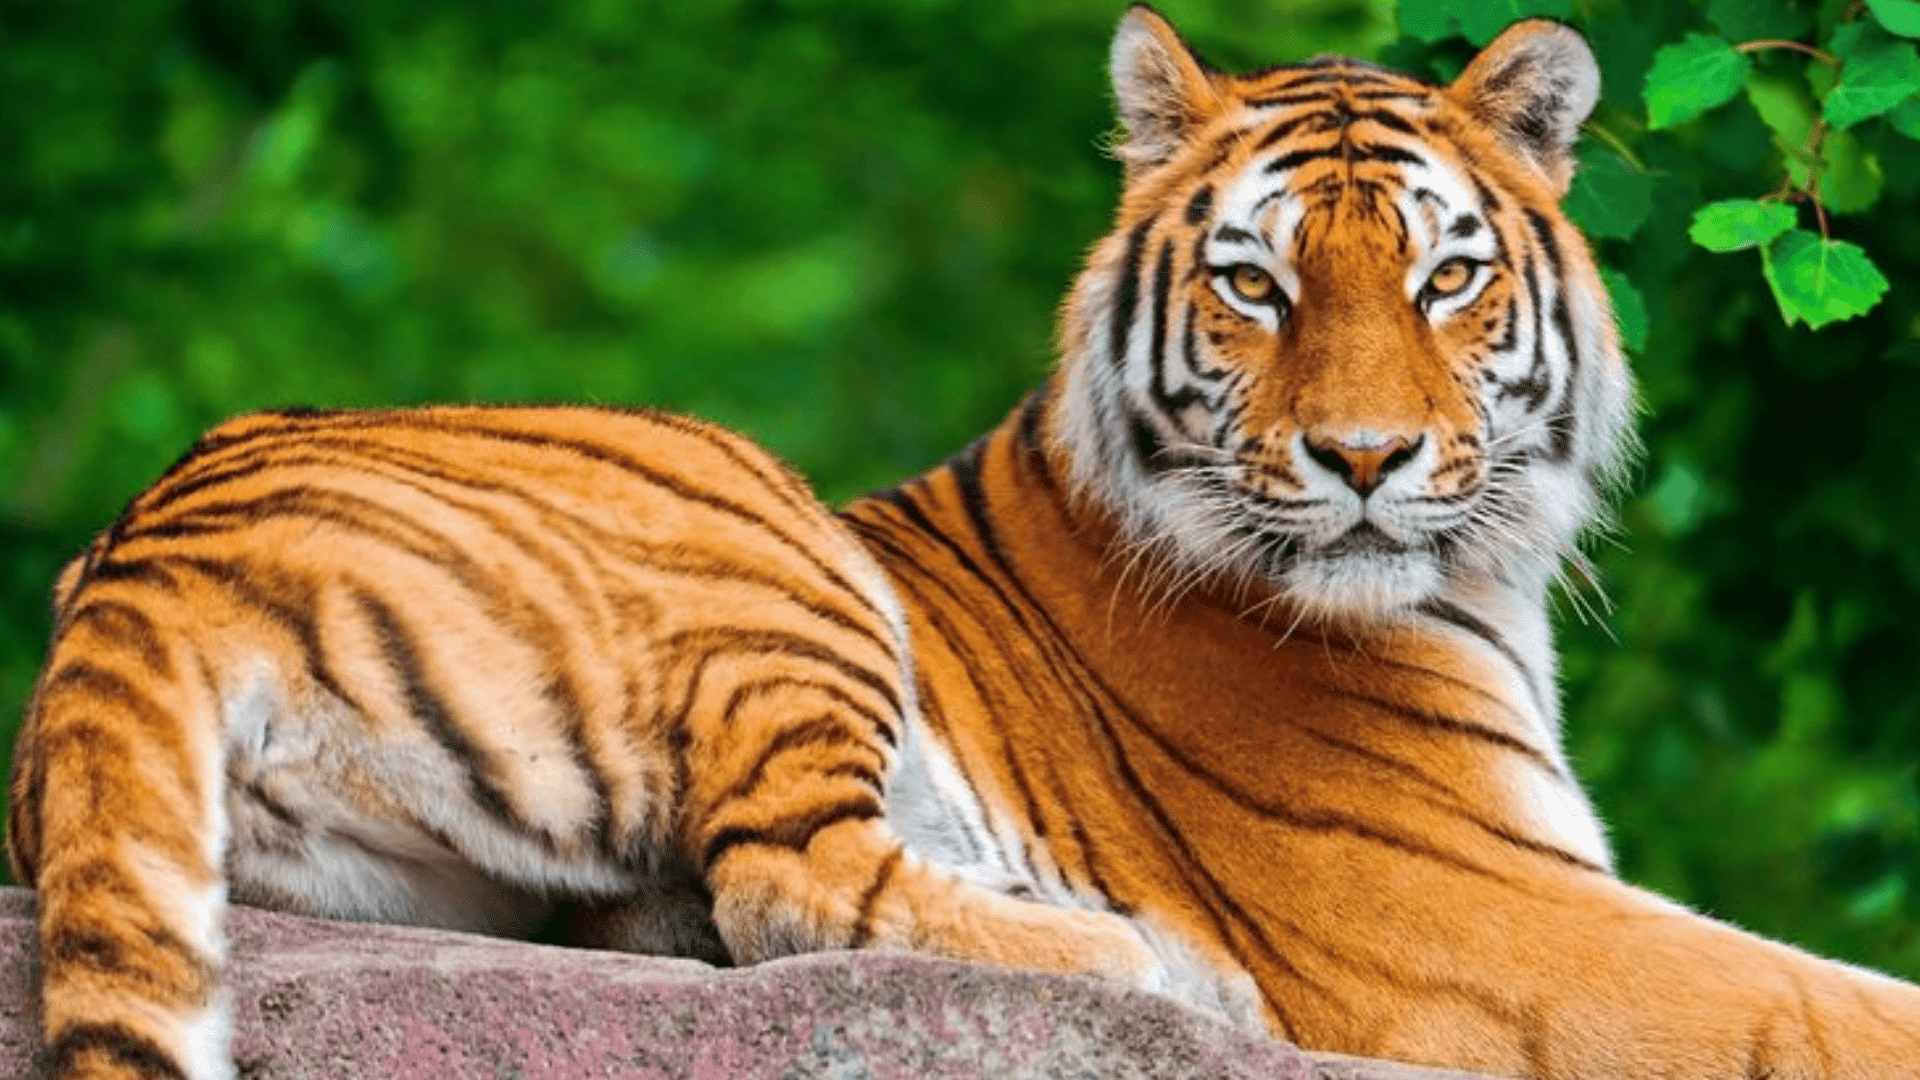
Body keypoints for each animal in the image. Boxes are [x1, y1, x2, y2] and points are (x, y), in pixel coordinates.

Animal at [12, 5, 1920, 1080]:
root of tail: (142, 549)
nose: (1367, 459)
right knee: (785, 880)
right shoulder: (1484, 914)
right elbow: (1833, 1007)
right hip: (758, 529)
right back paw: (1157, 974)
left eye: (1449, 276)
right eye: (1257, 284)